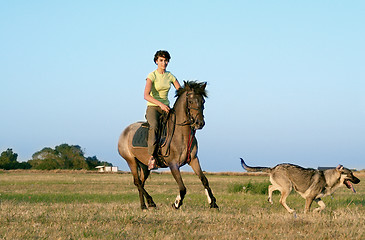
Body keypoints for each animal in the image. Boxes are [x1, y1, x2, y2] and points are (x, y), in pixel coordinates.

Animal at [118, 80, 218, 210]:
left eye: (203, 101)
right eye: (190, 101)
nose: (199, 123)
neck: (181, 135)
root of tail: (124, 132)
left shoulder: (194, 160)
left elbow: (204, 180)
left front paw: (213, 202)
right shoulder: (173, 164)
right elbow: (183, 188)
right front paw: (176, 203)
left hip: (144, 166)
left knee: (141, 182)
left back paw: (144, 206)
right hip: (131, 161)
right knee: (137, 182)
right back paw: (150, 202)